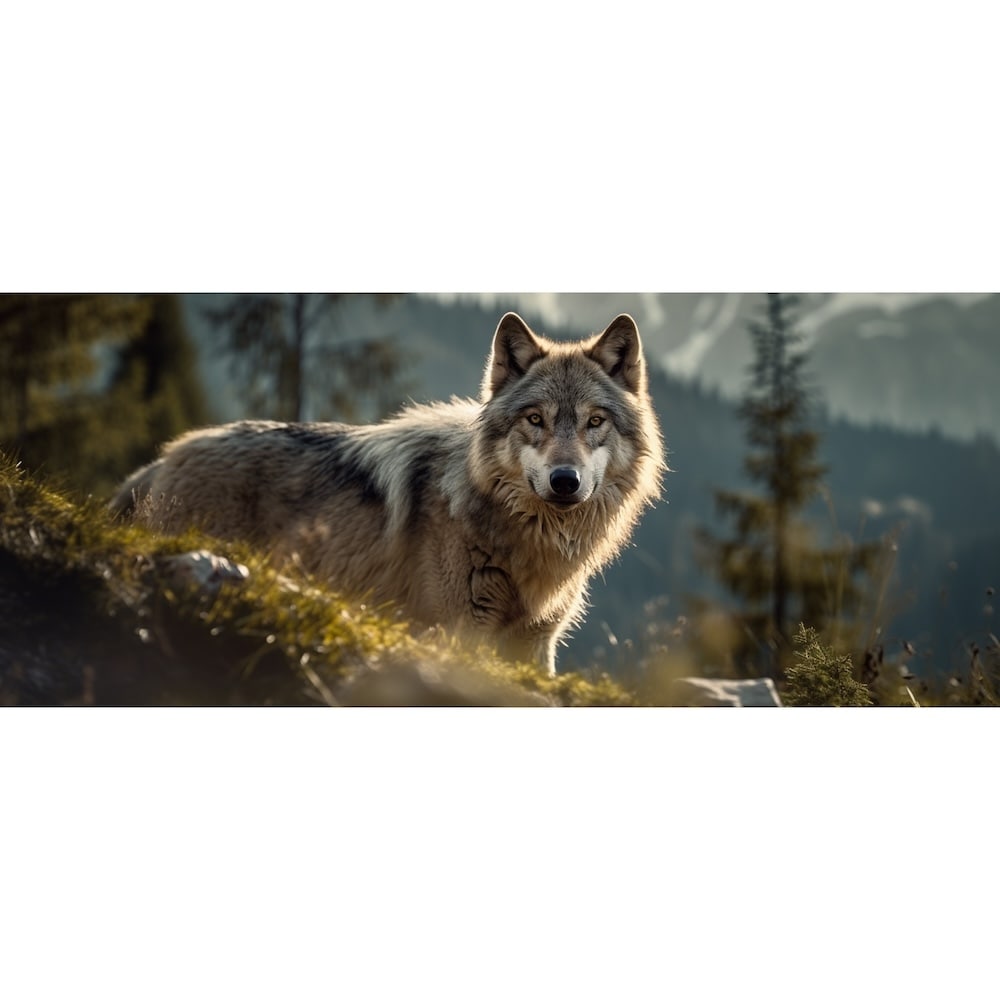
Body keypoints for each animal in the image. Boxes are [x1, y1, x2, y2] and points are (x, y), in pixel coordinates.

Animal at [110, 312, 665, 673]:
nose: (565, 481)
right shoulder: (461, 631)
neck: (531, 543)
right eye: (535, 420)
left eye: (594, 422)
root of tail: (162, 461)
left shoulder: (535, 647)